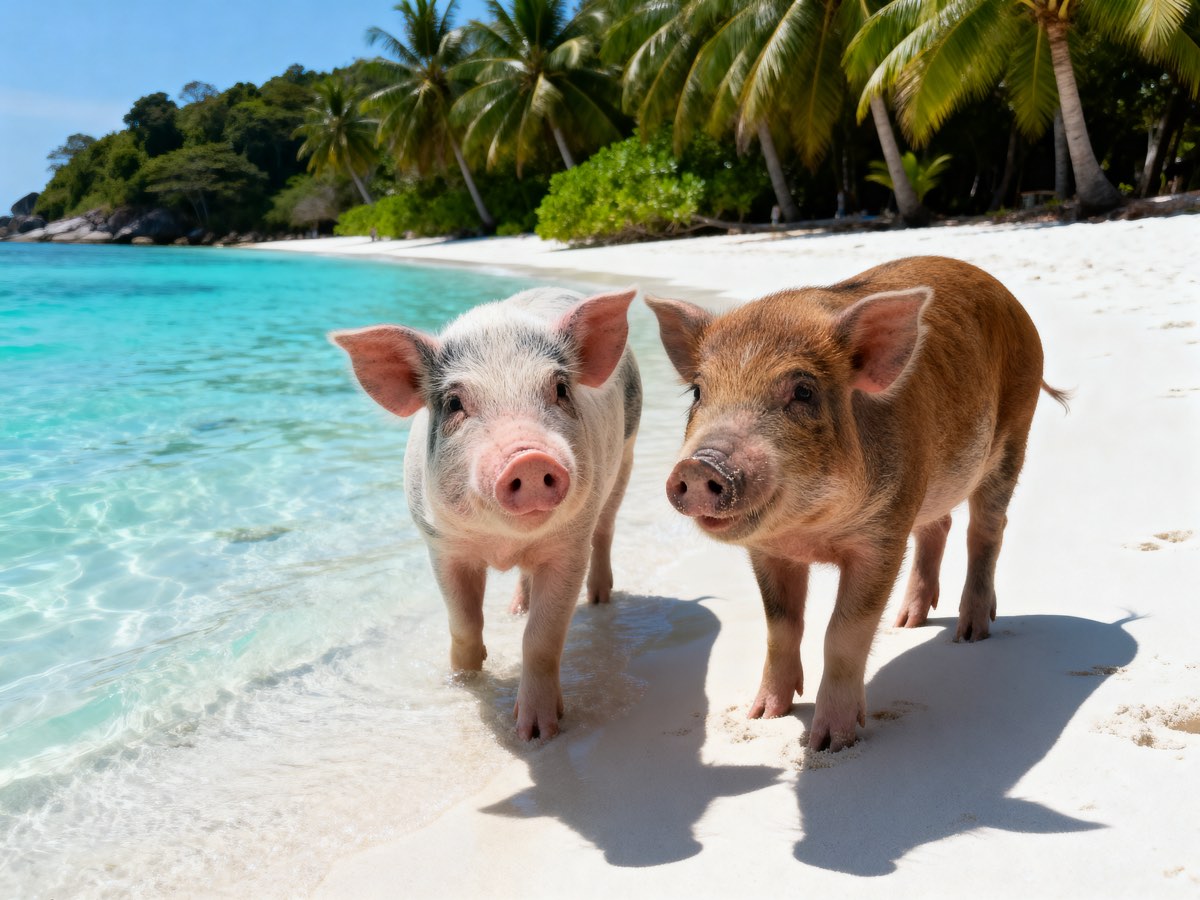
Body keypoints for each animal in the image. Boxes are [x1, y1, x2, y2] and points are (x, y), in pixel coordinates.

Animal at [331, 287, 641, 740]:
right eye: (455, 402)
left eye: (560, 389)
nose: (529, 458)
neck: (504, 544)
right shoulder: (442, 546)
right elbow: (464, 625)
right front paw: (461, 682)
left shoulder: (570, 547)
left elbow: (542, 638)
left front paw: (536, 733)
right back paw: (516, 609)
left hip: (626, 455)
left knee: (606, 529)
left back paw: (599, 599)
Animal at [647, 256, 1067, 752]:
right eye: (697, 391)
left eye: (803, 391)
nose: (699, 465)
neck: (811, 531)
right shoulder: (768, 552)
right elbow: (780, 627)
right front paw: (763, 715)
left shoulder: (882, 537)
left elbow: (843, 633)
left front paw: (829, 743)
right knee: (938, 526)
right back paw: (906, 624)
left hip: (1015, 432)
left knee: (986, 530)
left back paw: (970, 634)